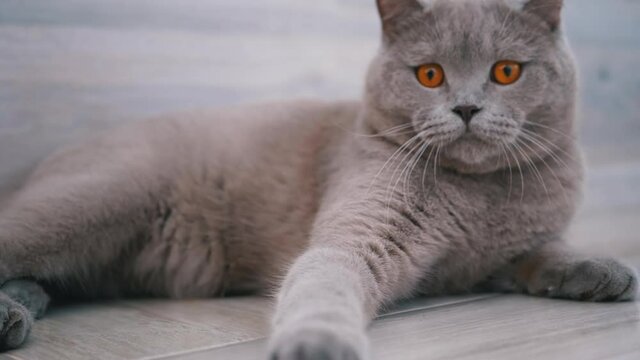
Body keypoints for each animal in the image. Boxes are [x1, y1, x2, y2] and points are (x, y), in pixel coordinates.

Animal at [0, 0, 636, 358]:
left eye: (506, 72)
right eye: (430, 75)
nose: (466, 108)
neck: (480, 195)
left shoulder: (499, 253)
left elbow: (541, 252)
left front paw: (600, 271)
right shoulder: (362, 232)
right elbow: (326, 282)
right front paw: (317, 345)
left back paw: (17, 313)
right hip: (95, 202)